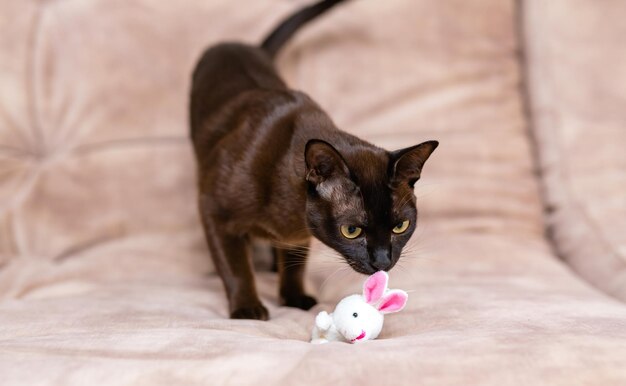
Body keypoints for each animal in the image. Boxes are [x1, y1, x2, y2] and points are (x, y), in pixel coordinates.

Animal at [188, 0, 436, 320]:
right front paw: (247, 310)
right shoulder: (214, 212)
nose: (382, 262)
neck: (290, 214)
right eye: (352, 231)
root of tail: (242, 45)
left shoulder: (297, 236)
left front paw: (294, 299)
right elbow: (236, 267)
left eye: (400, 227)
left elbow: (295, 263)